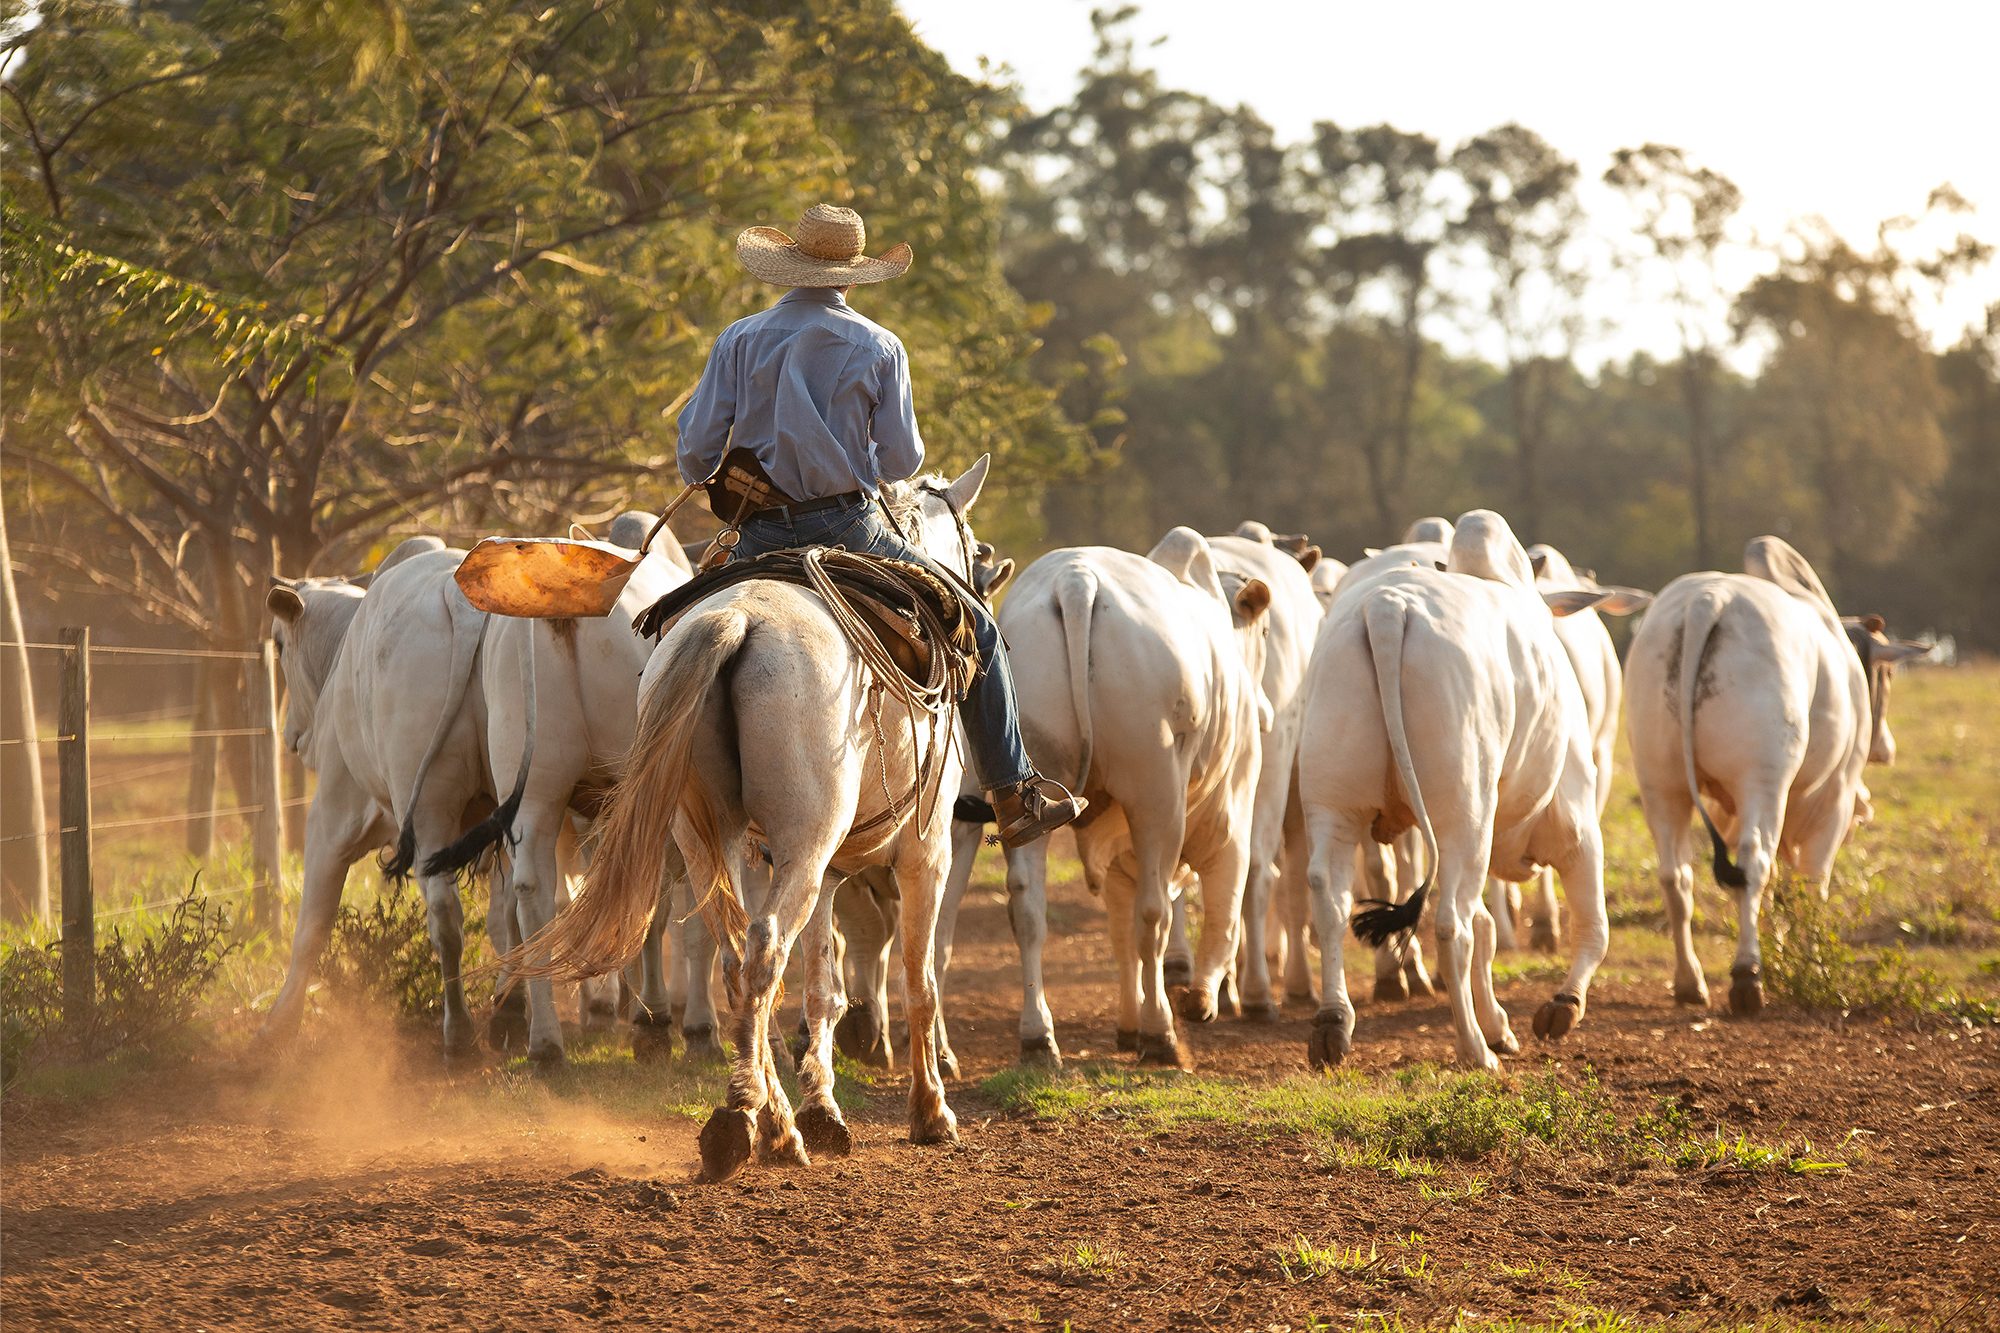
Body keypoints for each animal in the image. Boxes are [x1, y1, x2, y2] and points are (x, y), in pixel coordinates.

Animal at [504, 456, 996, 1176]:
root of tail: (738, 619)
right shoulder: (923, 854)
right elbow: (919, 978)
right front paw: (931, 1111)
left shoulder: (830, 871)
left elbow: (823, 986)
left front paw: (823, 1109)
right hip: (801, 845)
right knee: (762, 953)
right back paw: (747, 1121)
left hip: (717, 841)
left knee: (739, 960)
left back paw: (769, 1122)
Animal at [1296, 508, 1608, 1072]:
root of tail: (1386, 608)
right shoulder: (1577, 824)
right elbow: (1593, 928)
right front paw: (1561, 1007)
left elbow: (1489, 927)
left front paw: (1501, 1024)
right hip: (1466, 817)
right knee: (1450, 926)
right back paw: (1474, 1048)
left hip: (1334, 805)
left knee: (1330, 900)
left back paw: (1333, 1026)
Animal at [1624, 532, 1936, 1008]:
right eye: (1887, 676)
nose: (1886, 748)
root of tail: (1708, 600)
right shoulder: (1836, 799)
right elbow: (1811, 885)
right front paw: (1812, 966)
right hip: (1763, 782)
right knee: (1753, 862)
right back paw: (1746, 977)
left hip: (1660, 782)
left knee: (1675, 876)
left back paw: (1690, 982)